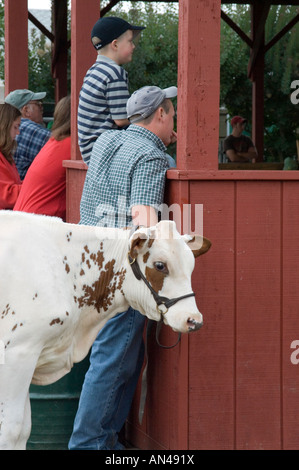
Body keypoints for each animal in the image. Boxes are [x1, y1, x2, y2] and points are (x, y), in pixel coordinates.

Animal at [0, 212, 211, 448]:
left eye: (191, 266)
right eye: (160, 265)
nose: (193, 320)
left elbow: (25, 429)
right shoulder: (18, 353)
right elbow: (11, 431)